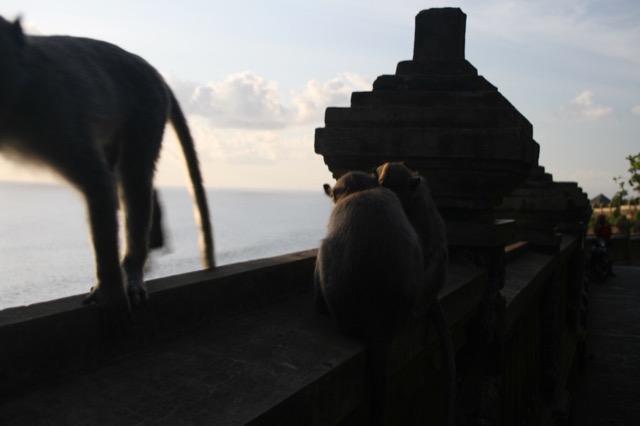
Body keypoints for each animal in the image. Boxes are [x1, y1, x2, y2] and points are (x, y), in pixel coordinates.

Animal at [0, 17, 215, 316]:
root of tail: (153, 71)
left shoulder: (54, 112)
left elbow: (98, 184)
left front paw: (111, 292)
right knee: (121, 180)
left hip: (146, 107)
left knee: (133, 178)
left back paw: (133, 268)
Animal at [374, 162, 455, 426]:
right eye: (380, 184)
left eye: (391, 188)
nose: (384, 194)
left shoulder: (421, 208)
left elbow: (425, 246)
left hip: (422, 289)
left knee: (439, 253)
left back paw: (416, 308)